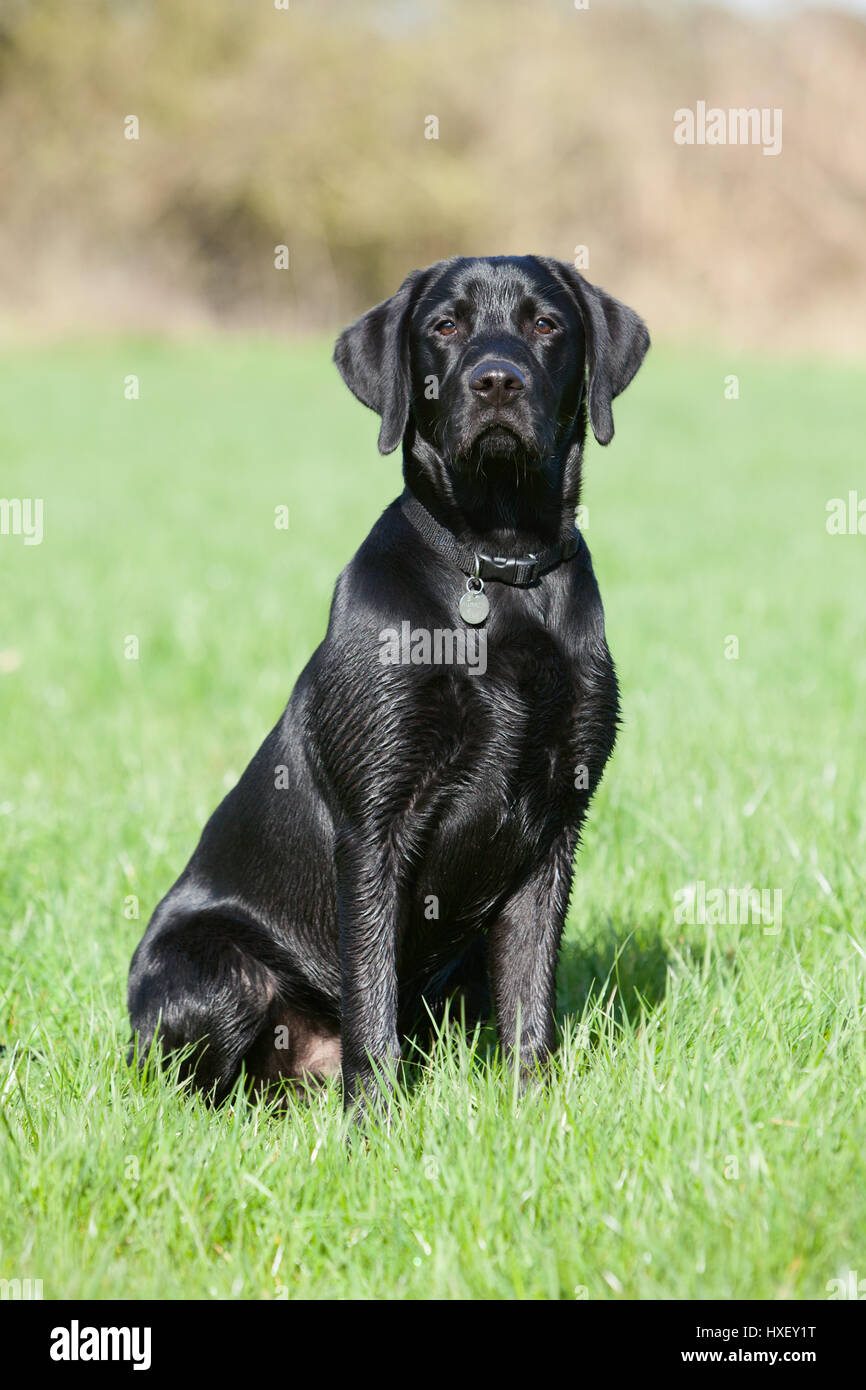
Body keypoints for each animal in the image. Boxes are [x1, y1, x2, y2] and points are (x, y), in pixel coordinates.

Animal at [125, 255, 647, 1112]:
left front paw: (534, 1114)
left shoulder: (555, 828)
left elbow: (531, 1001)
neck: (497, 565)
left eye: (546, 324)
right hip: (217, 970)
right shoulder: (375, 821)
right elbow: (371, 1002)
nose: (496, 381)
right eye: (445, 325)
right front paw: (373, 1128)